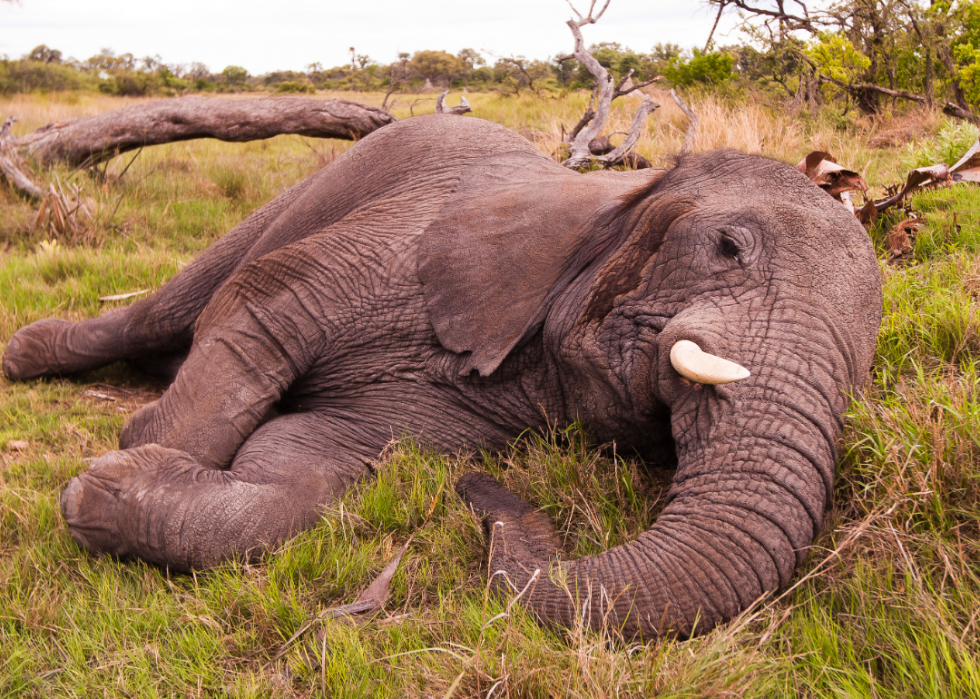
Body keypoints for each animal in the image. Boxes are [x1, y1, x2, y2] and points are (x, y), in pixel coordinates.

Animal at [1, 113, 880, 640]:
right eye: (728, 247)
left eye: (866, 361)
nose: (481, 494)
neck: (615, 193)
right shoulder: (393, 242)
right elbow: (260, 311)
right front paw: (133, 452)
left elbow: (306, 473)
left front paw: (114, 489)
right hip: (302, 195)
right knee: (170, 309)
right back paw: (27, 354)